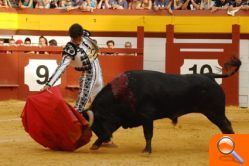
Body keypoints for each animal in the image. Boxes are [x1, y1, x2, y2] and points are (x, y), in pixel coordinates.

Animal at [83, 57, 241, 153]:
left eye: (98, 123)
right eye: (94, 127)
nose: (106, 138)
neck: (125, 91)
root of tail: (209, 76)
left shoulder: (146, 117)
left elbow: (148, 134)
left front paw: (147, 150)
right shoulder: (121, 118)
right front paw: (95, 145)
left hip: (214, 112)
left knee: (226, 125)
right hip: (214, 113)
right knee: (226, 125)